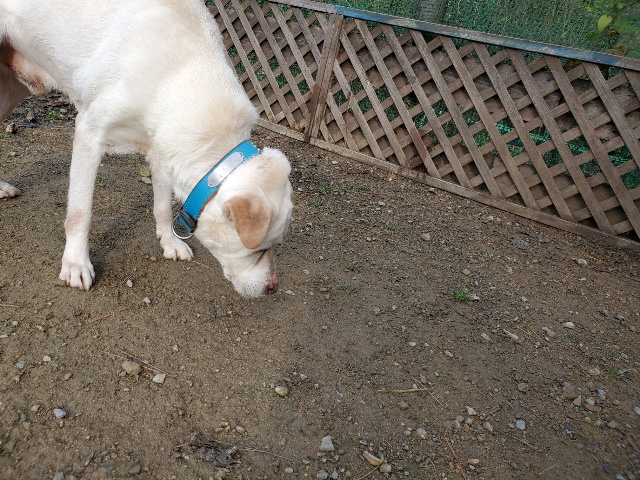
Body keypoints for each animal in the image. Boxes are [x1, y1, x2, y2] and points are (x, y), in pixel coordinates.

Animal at [0, 0, 293, 298]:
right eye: (261, 250)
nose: (273, 288)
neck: (180, 74)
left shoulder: (162, 151)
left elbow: (162, 206)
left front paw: (170, 242)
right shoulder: (88, 135)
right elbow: (80, 213)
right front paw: (75, 264)